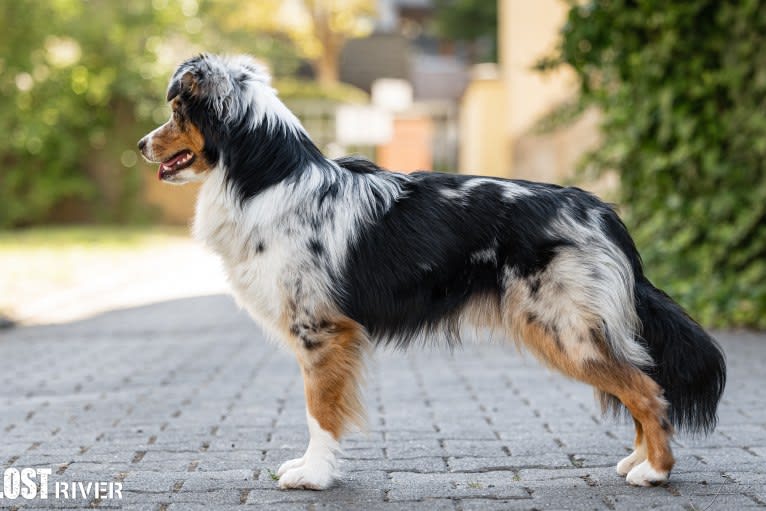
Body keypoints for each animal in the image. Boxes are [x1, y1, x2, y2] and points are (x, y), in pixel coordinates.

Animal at [140, 54, 728, 490]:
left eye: (176, 110)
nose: (141, 145)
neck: (265, 179)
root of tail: (602, 211)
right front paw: (312, 468)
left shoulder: (321, 332)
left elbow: (318, 411)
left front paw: (314, 475)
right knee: (641, 384)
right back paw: (637, 460)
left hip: (564, 329)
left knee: (648, 390)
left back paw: (655, 472)